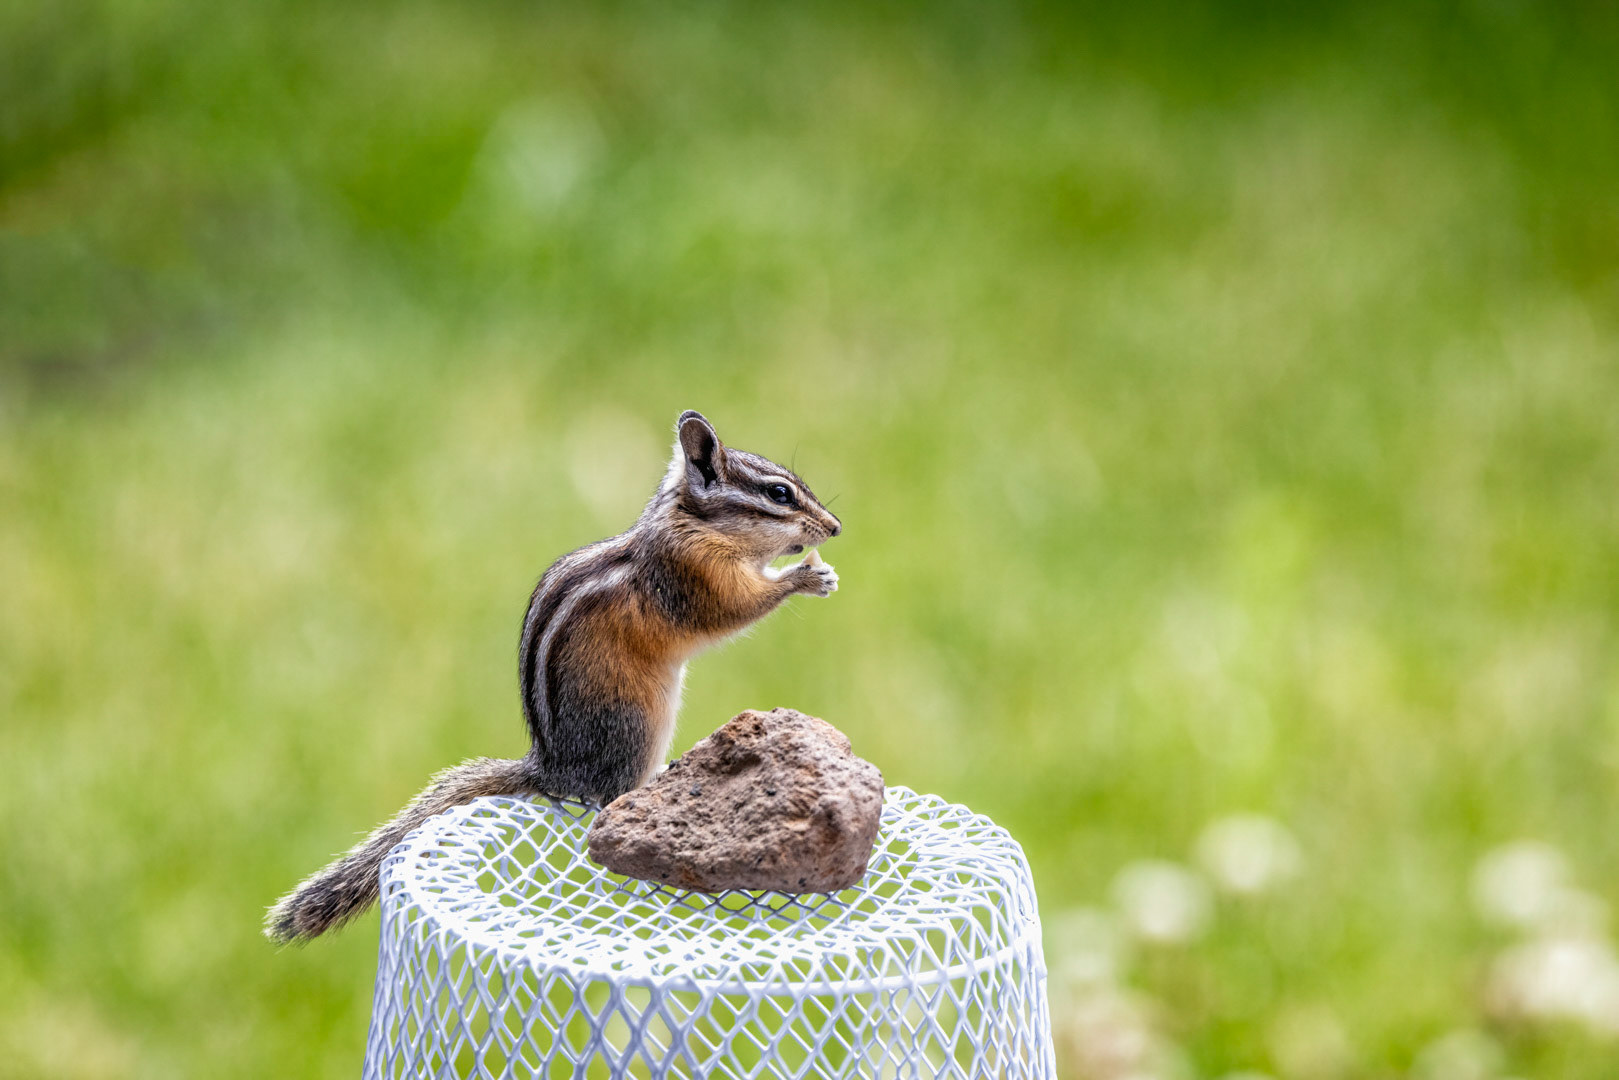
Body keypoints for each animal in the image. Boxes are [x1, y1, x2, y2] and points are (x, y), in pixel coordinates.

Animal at [264, 410, 842, 944]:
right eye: (780, 493)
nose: (835, 528)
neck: (692, 524)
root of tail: (551, 770)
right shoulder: (693, 576)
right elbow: (736, 608)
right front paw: (807, 576)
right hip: (638, 722)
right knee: (609, 796)